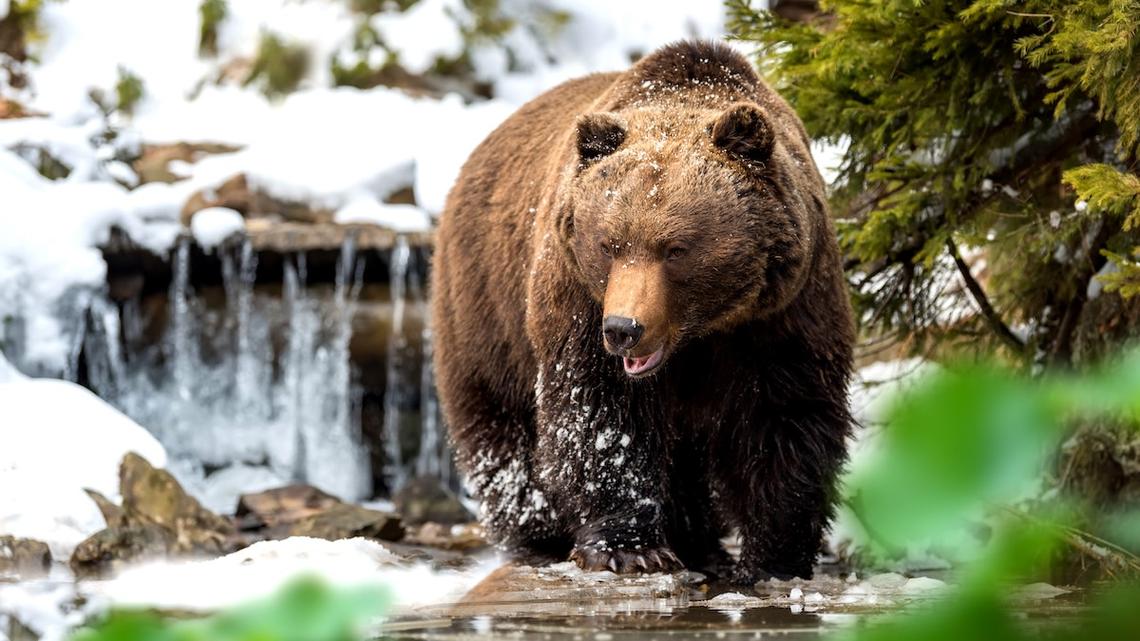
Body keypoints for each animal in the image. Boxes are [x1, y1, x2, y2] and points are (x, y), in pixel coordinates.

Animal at [430, 40, 854, 583]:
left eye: (676, 249)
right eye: (609, 244)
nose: (624, 329)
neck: (700, 332)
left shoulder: (783, 310)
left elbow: (784, 415)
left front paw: (773, 557)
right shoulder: (578, 300)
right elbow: (602, 415)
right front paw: (629, 548)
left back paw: (698, 540)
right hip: (486, 305)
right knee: (501, 423)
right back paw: (539, 533)